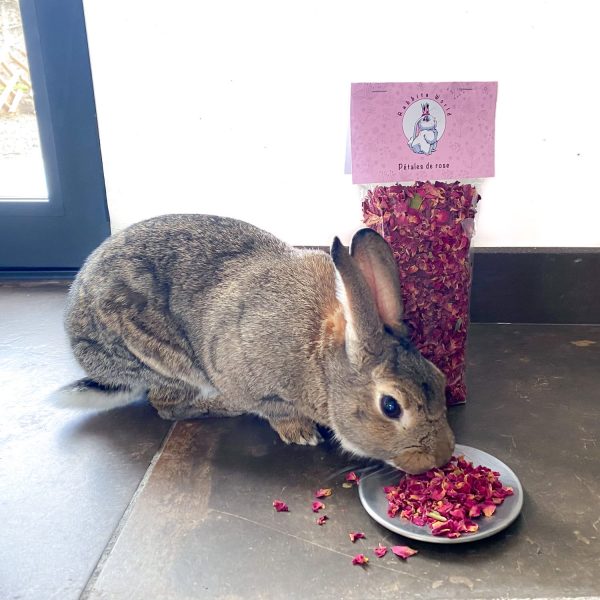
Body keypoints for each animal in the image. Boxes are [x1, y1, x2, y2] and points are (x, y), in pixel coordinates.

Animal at [58, 216, 454, 474]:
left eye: (440, 380)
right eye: (391, 406)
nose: (441, 457)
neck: (324, 367)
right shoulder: (250, 381)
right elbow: (276, 411)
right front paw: (301, 433)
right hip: (162, 359)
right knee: (165, 405)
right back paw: (218, 406)